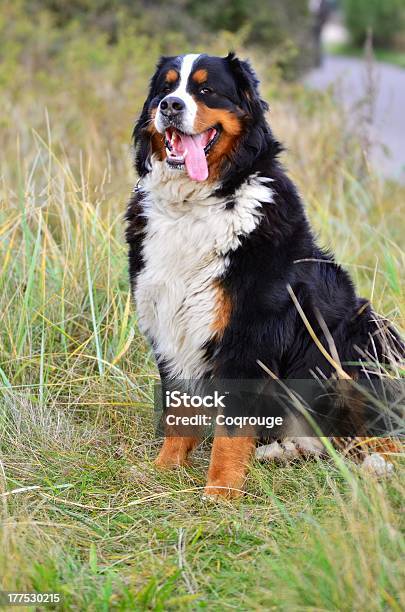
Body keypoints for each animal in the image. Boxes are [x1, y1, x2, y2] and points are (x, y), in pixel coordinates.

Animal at [125, 53, 400, 498]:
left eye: (205, 89)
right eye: (165, 88)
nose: (170, 106)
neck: (195, 207)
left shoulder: (249, 333)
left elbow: (232, 430)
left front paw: (220, 491)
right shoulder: (169, 322)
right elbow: (178, 412)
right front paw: (164, 469)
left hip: (361, 340)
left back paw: (379, 466)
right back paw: (283, 451)